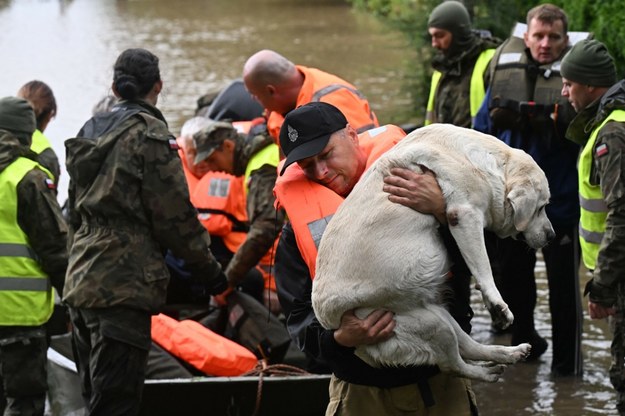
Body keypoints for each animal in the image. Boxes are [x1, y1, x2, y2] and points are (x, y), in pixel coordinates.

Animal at [310, 122, 552, 382]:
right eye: (541, 208)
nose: (552, 235)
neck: (487, 161)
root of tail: (330, 321)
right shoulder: (464, 216)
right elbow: (483, 266)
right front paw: (498, 304)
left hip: (436, 314)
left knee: (468, 346)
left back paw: (509, 354)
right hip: (424, 325)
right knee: (453, 365)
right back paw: (487, 372)